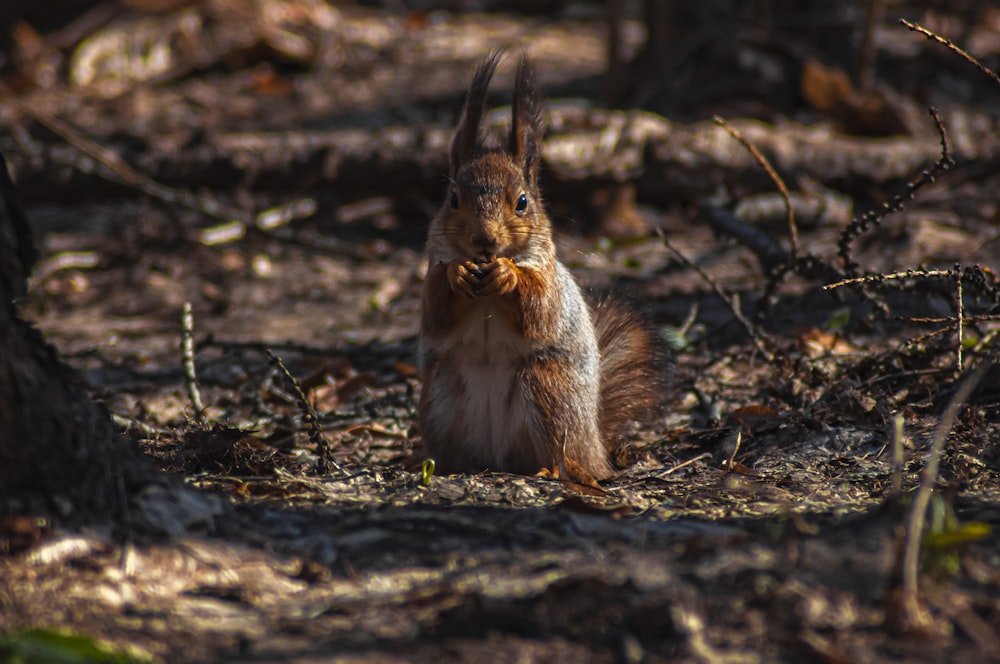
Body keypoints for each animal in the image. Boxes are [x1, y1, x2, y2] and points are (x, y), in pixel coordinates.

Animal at [418, 50, 668, 478]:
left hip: (547, 389)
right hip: (442, 392)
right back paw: (449, 466)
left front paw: (508, 275)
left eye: (522, 202)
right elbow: (435, 310)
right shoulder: (432, 272)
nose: (484, 240)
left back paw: (552, 469)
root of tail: (595, 445)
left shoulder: (547, 276)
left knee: (561, 453)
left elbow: (540, 309)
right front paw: (458, 272)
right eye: (452, 200)